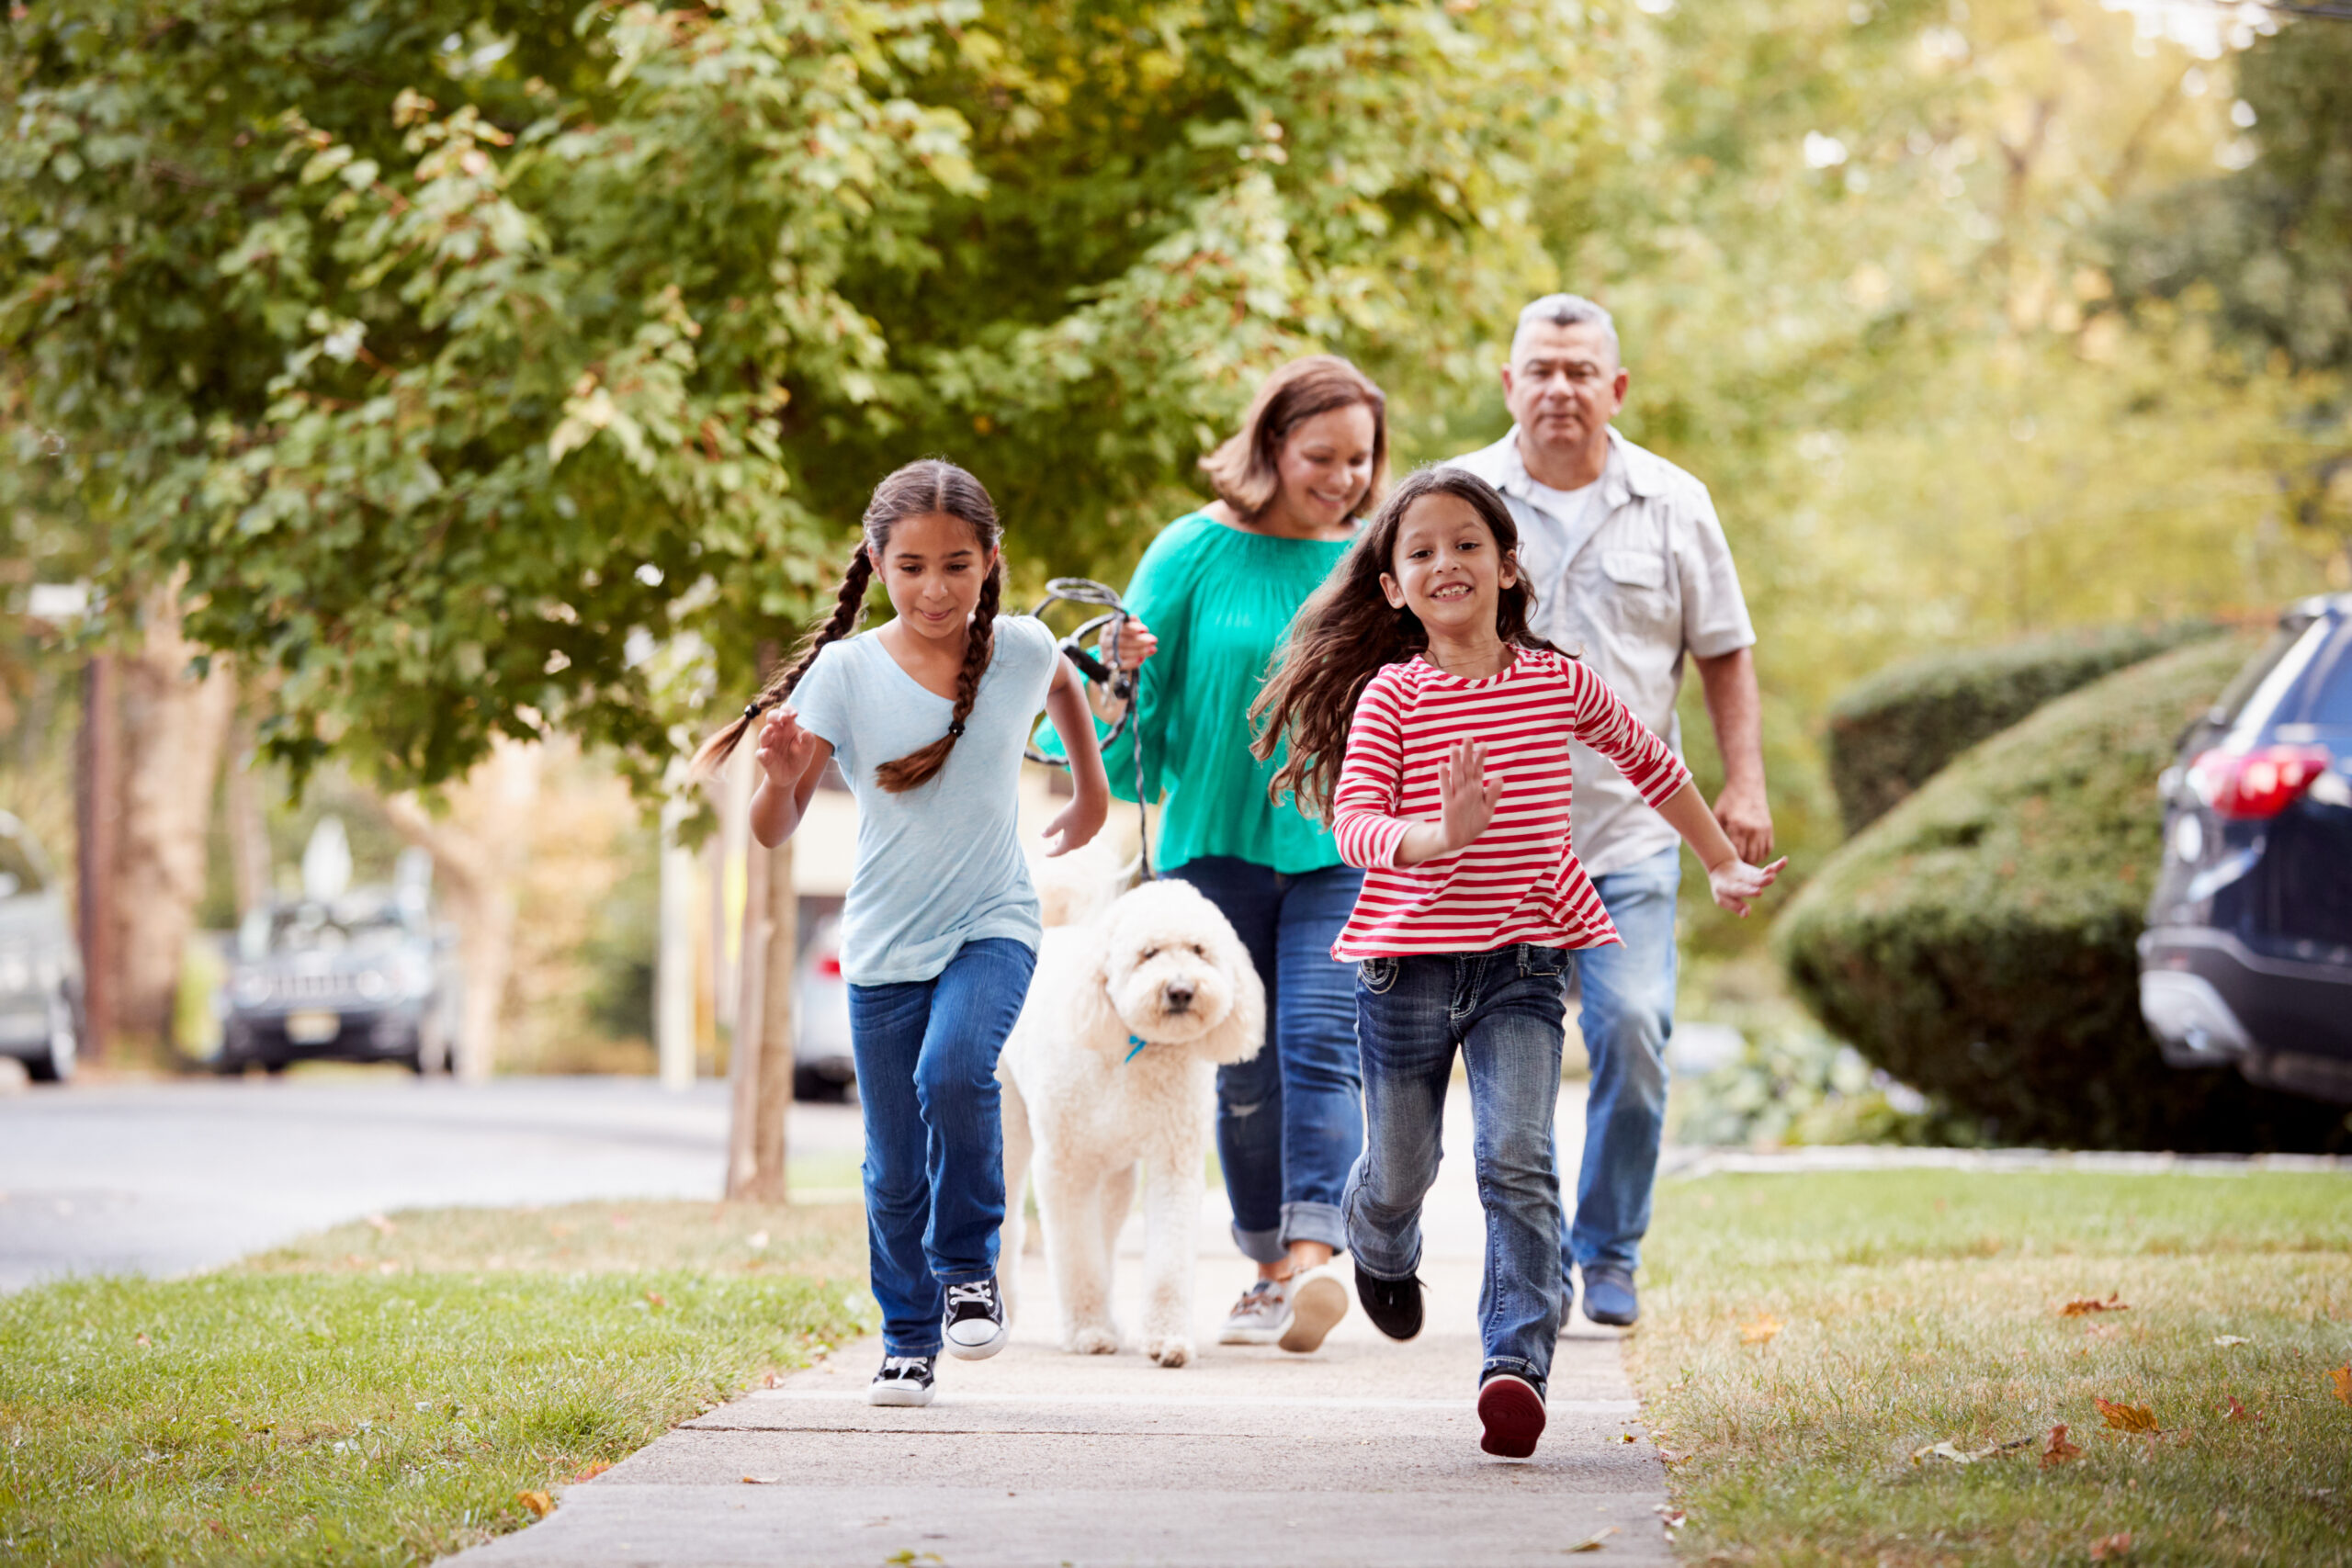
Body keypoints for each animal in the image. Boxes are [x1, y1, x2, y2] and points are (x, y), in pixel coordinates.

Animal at [1006, 879, 1270, 1363]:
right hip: (1009, 1124)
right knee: (1009, 1220)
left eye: (1199, 950)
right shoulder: (1064, 1168)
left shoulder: (1174, 1163)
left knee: (1106, 1235)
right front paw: (1088, 1331)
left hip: (1115, 1173)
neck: (1137, 1046)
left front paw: (1167, 1339)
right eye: (1149, 953)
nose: (1181, 990)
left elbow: (1167, 1259)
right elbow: (1076, 1256)